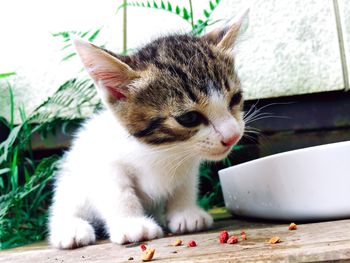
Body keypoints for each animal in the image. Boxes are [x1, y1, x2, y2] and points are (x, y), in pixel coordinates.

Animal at [48, 13, 246, 250]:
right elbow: (119, 193)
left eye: (235, 98)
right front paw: (132, 224)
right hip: (73, 181)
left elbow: (185, 186)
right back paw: (71, 228)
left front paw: (186, 213)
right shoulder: (107, 165)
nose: (232, 135)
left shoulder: (188, 165)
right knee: (66, 206)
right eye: (189, 118)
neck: (165, 150)